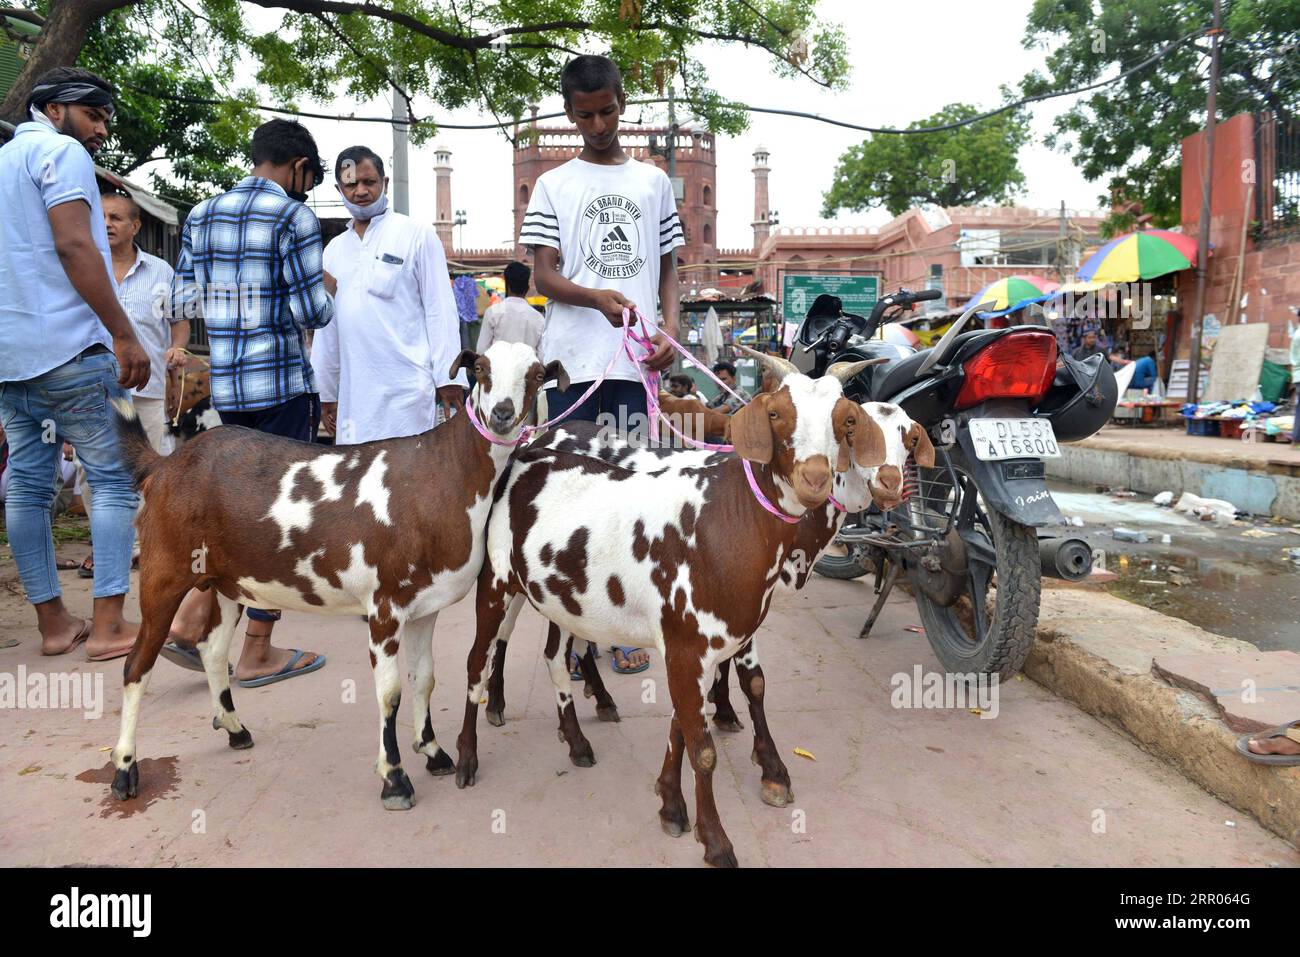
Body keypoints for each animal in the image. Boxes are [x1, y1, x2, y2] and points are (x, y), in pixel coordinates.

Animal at [104, 340, 561, 811]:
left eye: (535, 375)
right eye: (482, 369)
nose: (503, 412)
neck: (443, 473)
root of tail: (164, 465)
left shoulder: (425, 607)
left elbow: (424, 679)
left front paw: (433, 752)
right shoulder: (384, 606)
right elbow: (390, 692)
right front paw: (395, 780)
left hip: (227, 581)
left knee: (212, 651)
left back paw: (234, 729)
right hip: (163, 571)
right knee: (137, 665)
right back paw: (124, 769)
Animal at [454, 356, 883, 863]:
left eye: (847, 420)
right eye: (775, 413)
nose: (814, 478)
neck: (730, 517)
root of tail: (524, 453)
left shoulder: (699, 647)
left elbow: (685, 725)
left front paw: (672, 806)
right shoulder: (685, 646)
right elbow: (703, 749)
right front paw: (715, 841)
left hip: (562, 598)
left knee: (557, 658)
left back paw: (577, 741)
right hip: (497, 581)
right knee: (477, 662)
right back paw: (465, 758)